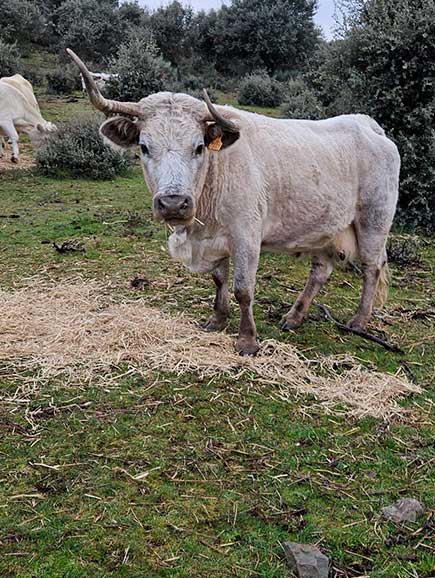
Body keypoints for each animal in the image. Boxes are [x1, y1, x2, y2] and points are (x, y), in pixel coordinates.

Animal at [69, 49, 402, 356]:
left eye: (199, 146)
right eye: (144, 146)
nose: (174, 203)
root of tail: (366, 124)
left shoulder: (247, 235)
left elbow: (243, 289)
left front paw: (247, 340)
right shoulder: (215, 240)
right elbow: (219, 280)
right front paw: (217, 320)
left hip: (374, 220)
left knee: (372, 267)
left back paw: (358, 321)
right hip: (325, 226)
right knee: (320, 271)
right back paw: (295, 316)